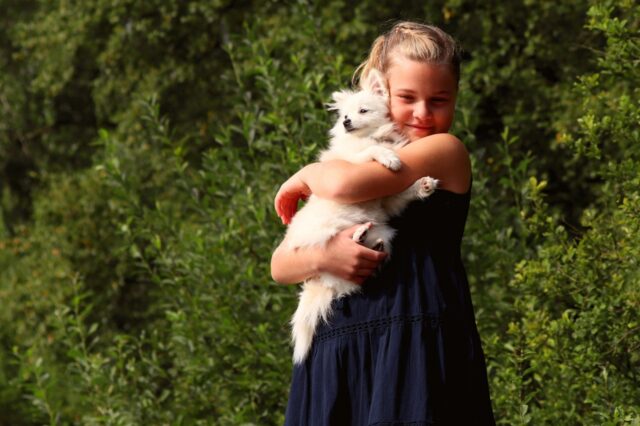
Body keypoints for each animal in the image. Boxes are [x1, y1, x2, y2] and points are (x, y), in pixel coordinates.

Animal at [286, 70, 440, 362]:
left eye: (363, 111)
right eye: (345, 115)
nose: (346, 121)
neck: (373, 136)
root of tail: (319, 282)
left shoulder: (389, 202)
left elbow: (403, 193)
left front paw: (421, 185)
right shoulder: (350, 164)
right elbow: (370, 152)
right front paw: (389, 157)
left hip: (384, 230)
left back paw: (369, 241)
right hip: (326, 239)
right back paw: (357, 235)